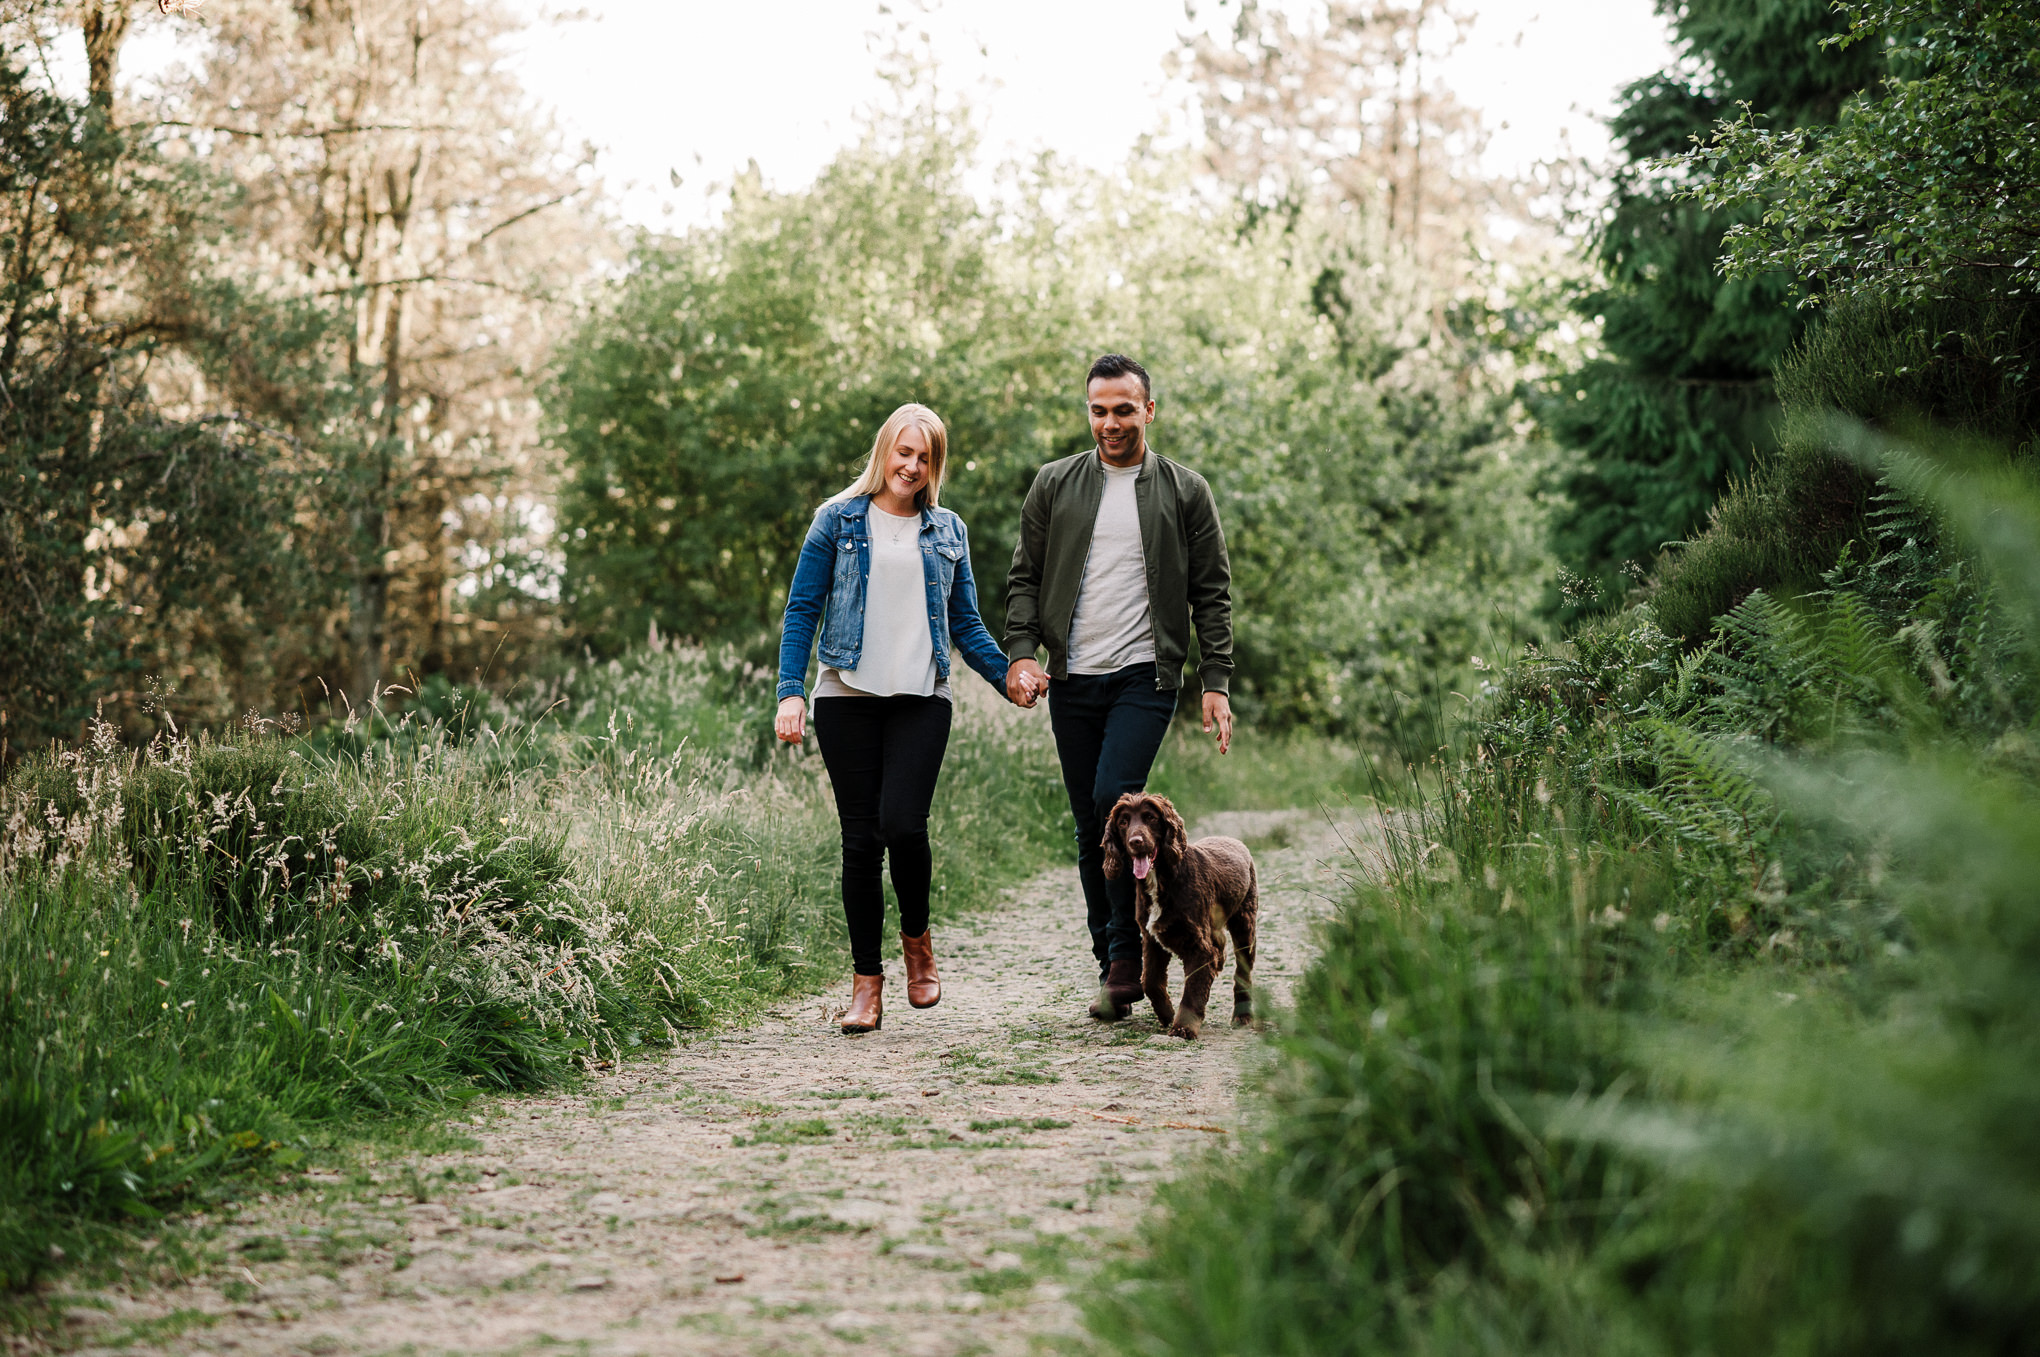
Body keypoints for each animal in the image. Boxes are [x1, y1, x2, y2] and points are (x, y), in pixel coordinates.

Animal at [1101, 795, 1256, 1036]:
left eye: (1151, 817)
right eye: (1123, 822)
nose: (1136, 841)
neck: (1161, 879)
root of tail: (1234, 841)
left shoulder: (1199, 946)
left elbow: (1193, 989)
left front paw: (1183, 1028)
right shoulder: (1152, 938)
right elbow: (1149, 981)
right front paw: (1167, 1015)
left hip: (1245, 921)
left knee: (1243, 971)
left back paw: (1242, 1015)